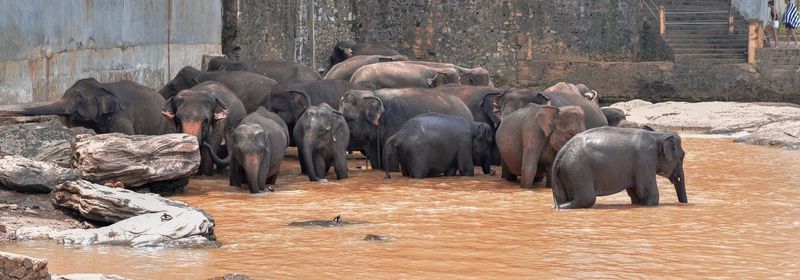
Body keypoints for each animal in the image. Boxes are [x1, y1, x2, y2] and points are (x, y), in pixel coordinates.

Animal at [552, 126, 688, 208]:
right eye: (682, 156)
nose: (684, 203)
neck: (657, 135)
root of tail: (562, 150)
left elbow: (636, 195)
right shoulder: (645, 159)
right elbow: (650, 193)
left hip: (565, 173)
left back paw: (557, 206)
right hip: (577, 170)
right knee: (587, 199)